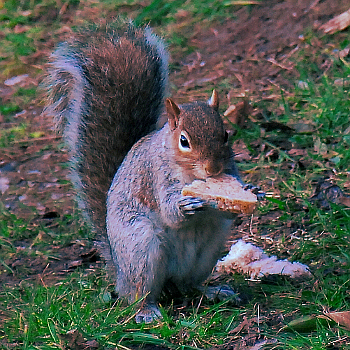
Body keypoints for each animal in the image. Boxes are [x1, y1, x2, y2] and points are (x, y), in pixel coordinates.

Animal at [43, 21, 252, 322]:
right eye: (184, 141)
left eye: (225, 135)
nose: (213, 168)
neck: (191, 175)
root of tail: (119, 272)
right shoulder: (156, 176)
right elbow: (169, 212)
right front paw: (185, 205)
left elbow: (228, 208)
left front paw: (251, 191)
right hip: (141, 249)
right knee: (137, 293)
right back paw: (146, 311)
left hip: (208, 250)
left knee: (188, 284)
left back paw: (213, 291)